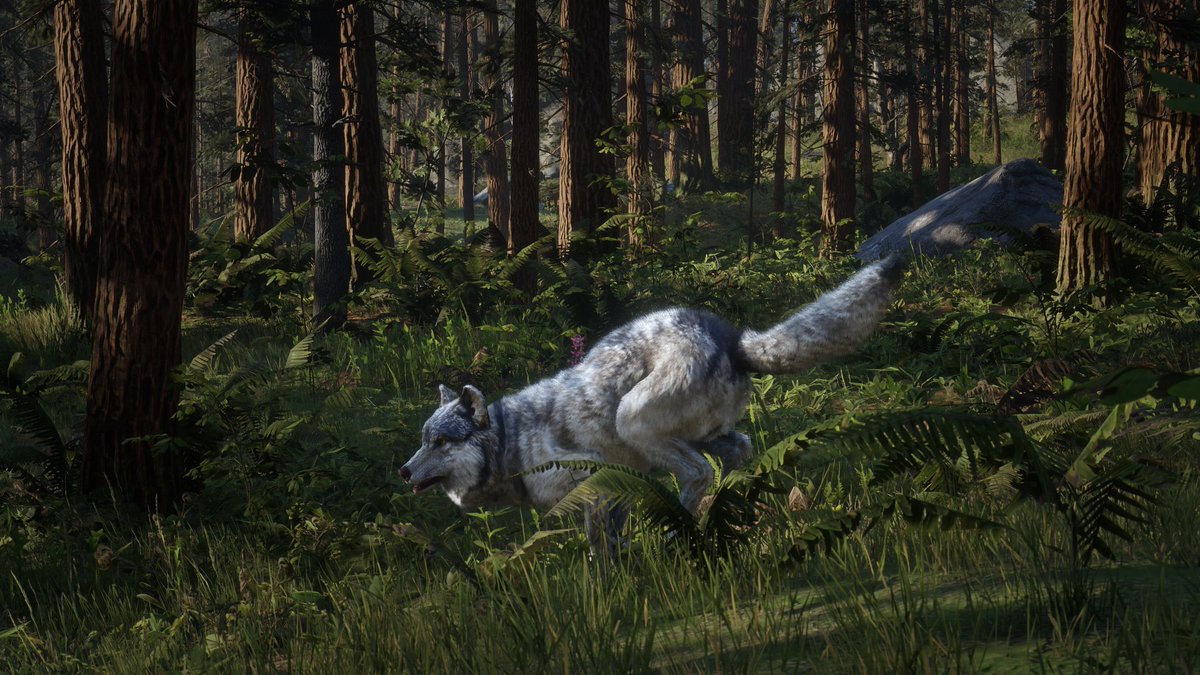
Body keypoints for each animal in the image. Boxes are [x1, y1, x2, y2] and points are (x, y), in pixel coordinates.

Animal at [399, 255, 907, 520]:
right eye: (423, 441)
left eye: (441, 442)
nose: (403, 472)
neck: (510, 440)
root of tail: (732, 337)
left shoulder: (593, 484)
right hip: (710, 436)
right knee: (740, 451)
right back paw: (728, 507)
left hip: (634, 423)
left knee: (699, 473)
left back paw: (686, 522)